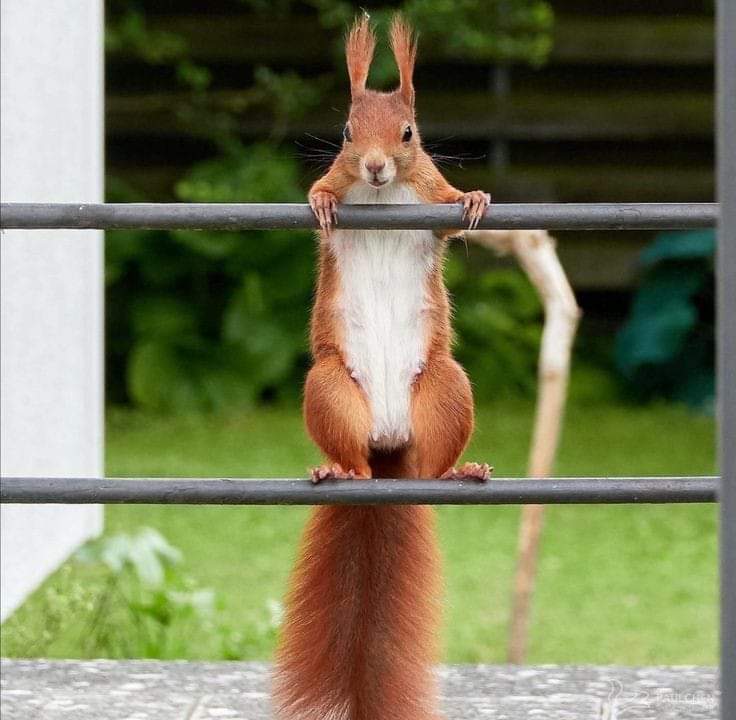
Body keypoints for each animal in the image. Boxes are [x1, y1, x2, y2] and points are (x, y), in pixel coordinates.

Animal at [274, 16, 492, 720]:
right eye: (347, 132)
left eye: (409, 133)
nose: (372, 167)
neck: (386, 194)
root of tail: (388, 444)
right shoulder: (339, 178)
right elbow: (321, 194)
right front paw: (320, 202)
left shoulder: (428, 190)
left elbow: (449, 206)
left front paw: (475, 198)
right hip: (330, 388)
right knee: (351, 455)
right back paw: (337, 468)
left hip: (447, 388)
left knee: (431, 464)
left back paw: (456, 472)